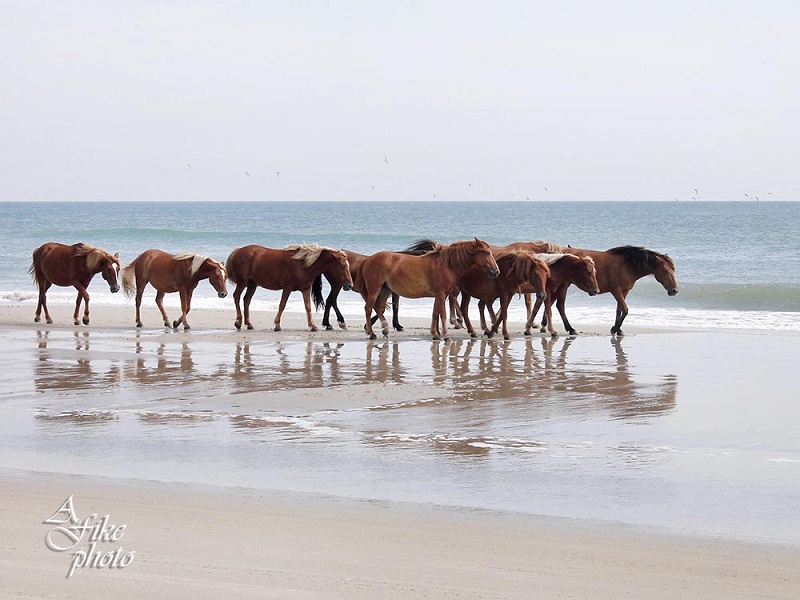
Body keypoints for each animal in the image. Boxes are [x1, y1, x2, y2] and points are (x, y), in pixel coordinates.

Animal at [223, 243, 352, 332]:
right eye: (343, 265)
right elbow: (282, 305)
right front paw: (277, 325)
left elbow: (308, 307)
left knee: (246, 300)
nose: (350, 285)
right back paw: (238, 322)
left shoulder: (306, 289)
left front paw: (313, 325)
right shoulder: (287, 288)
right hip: (242, 282)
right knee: (236, 296)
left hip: (252, 284)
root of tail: (237, 251)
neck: (302, 265)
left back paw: (249, 324)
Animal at [358, 239, 496, 342]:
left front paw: (435, 334)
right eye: (486, 253)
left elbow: (435, 313)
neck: (446, 265)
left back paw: (385, 329)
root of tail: (368, 260)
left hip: (385, 290)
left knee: (378, 307)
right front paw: (446, 336)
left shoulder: (439, 295)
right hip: (375, 290)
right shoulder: (441, 294)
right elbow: (443, 314)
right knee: (368, 308)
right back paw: (372, 334)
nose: (496, 271)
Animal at [528, 245, 680, 338]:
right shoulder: (616, 291)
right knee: (559, 305)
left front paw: (618, 329)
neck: (627, 265)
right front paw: (614, 329)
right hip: (564, 285)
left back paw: (543, 326)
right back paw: (569, 328)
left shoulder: (624, 291)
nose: (674, 290)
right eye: (666, 271)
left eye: (673, 270)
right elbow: (625, 310)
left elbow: (619, 310)